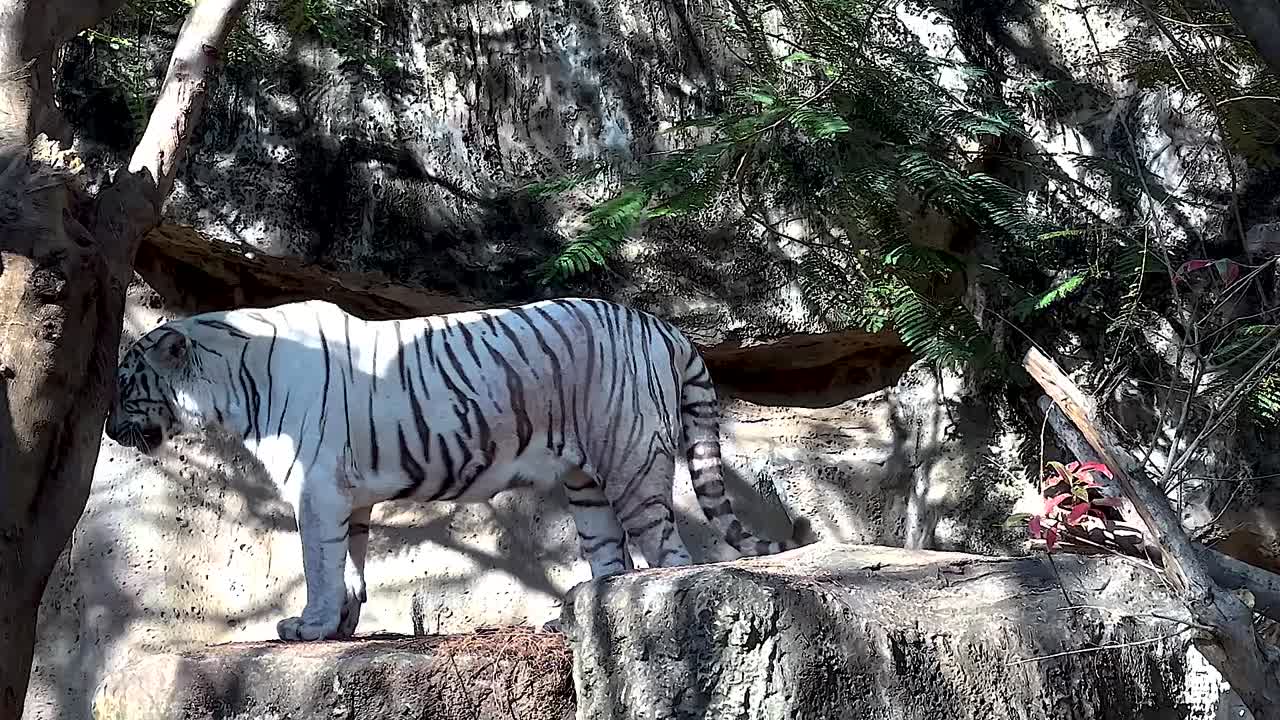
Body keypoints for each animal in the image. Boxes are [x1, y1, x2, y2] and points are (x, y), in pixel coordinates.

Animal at [104, 297, 812, 641]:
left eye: (124, 383)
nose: (108, 428)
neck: (233, 381)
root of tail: (662, 324)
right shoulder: (347, 497)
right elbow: (349, 564)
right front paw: (340, 627)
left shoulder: (316, 490)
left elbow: (318, 562)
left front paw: (307, 627)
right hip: (585, 483)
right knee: (610, 556)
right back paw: (578, 620)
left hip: (631, 457)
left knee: (669, 550)